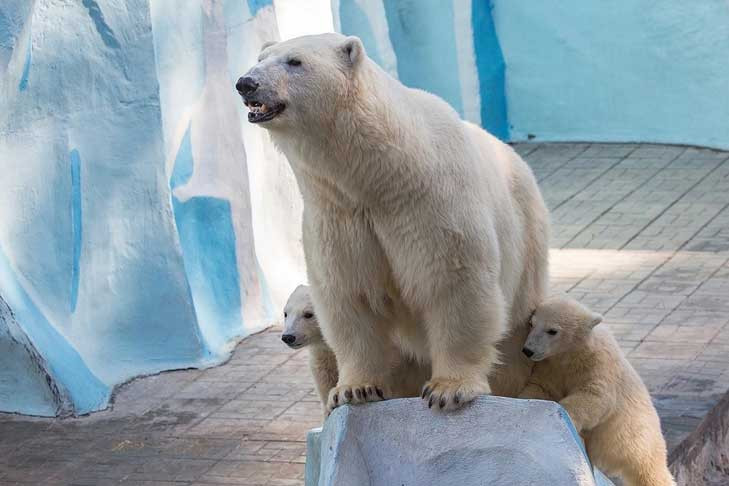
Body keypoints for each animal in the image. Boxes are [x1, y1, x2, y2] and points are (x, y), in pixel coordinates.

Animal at [237, 34, 544, 412]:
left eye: (294, 61)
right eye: (260, 58)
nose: (246, 83)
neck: (379, 173)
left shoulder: (430, 203)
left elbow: (455, 282)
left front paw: (449, 389)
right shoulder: (337, 215)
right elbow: (348, 296)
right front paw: (354, 389)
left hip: (527, 247)